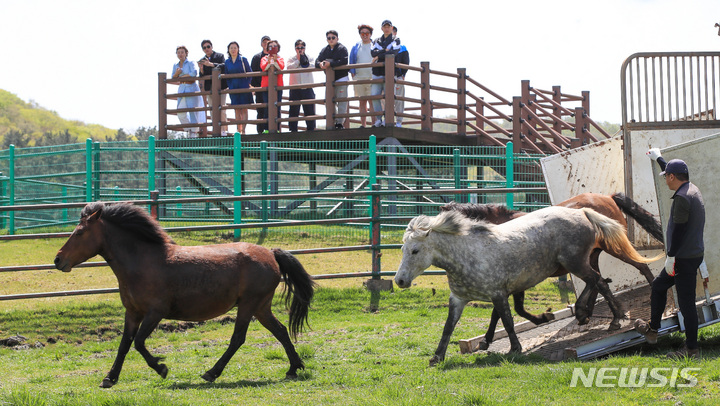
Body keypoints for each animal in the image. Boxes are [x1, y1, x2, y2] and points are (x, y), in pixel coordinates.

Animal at [54, 202, 314, 386]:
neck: (142, 261)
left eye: (79, 233)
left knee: (238, 338)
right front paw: (109, 378)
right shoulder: (133, 313)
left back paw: (211, 373)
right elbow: (124, 344)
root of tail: (271, 253)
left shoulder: (155, 312)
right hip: (261, 307)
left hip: (249, 305)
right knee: (281, 331)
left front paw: (162, 369)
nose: (58, 260)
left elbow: (139, 343)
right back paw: (294, 368)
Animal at [396, 206, 660, 364]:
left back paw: (614, 318)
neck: (468, 254)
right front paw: (437, 357)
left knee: (599, 282)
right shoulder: (459, 299)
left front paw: (515, 348)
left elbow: (507, 320)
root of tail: (582, 212)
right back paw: (584, 312)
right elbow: (449, 327)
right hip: (577, 262)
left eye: (415, 250)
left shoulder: (498, 294)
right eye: (402, 249)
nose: (400, 280)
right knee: (595, 281)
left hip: (574, 262)